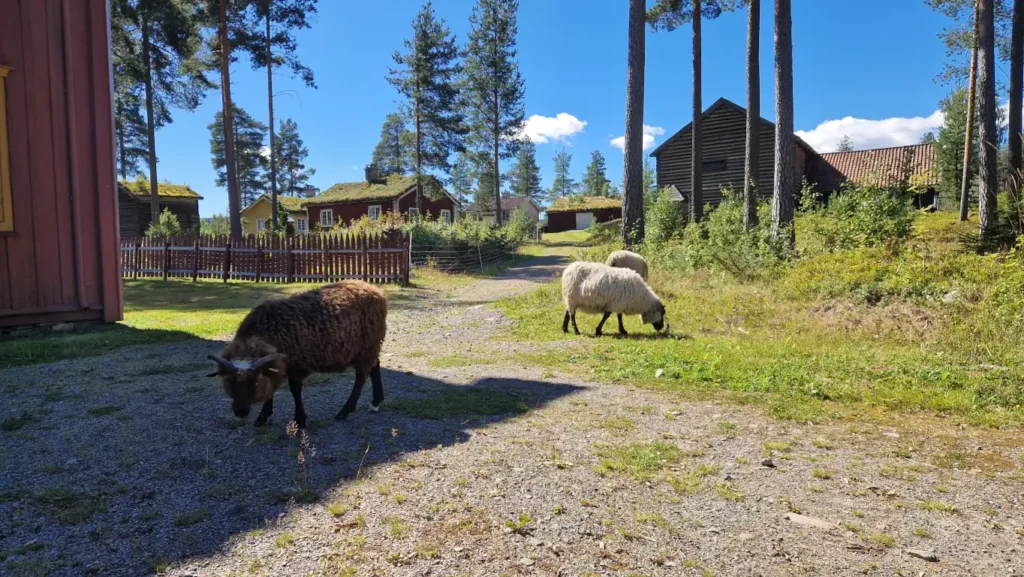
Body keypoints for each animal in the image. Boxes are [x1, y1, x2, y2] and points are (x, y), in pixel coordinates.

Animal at [206, 282, 387, 426]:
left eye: (255, 382)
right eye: (229, 381)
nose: (240, 412)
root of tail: (374, 290)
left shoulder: (297, 364)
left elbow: (295, 390)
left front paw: (299, 419)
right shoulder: (277, 366)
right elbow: (271, 388)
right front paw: (262, 417)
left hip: (368, 344)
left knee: (361, 376)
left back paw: (345, 411)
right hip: (369, 346)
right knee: (375, 365)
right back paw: (375, 402)